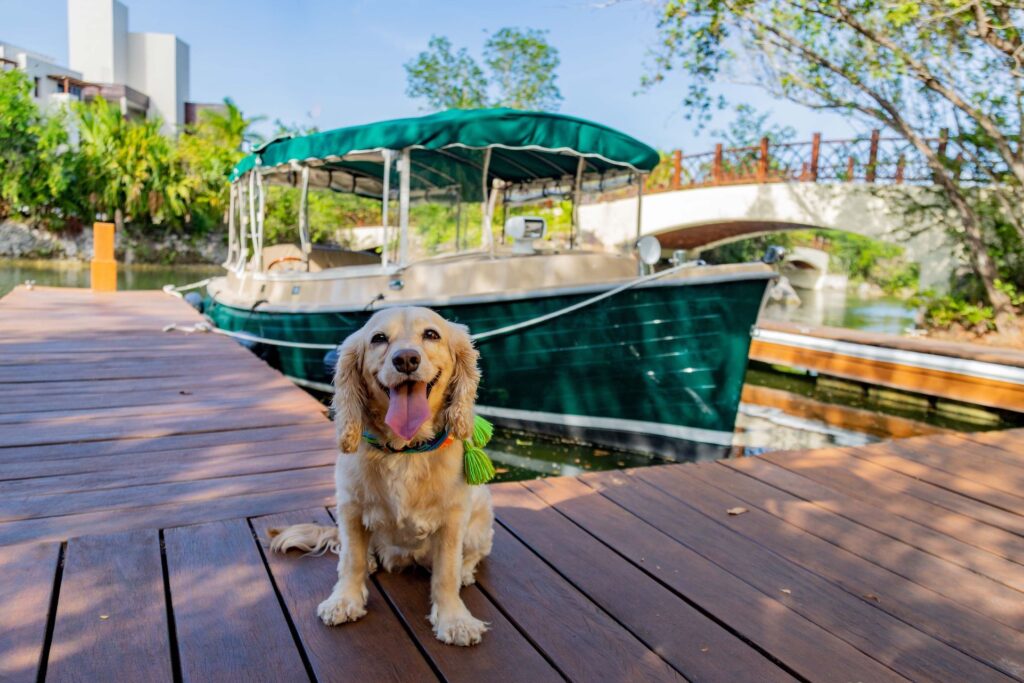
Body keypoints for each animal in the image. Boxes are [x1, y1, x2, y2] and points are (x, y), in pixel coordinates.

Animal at [270, 307, 493, 651]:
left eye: (431, 334)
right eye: (378, 338)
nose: (406, 360)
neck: (405, 450)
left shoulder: (453, 520)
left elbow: (446, 573)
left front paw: (454, 619)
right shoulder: (350, 508)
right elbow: (352, 560)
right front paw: (344, 600)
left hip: (481, 518)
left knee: (471, 556)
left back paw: (466, 573)